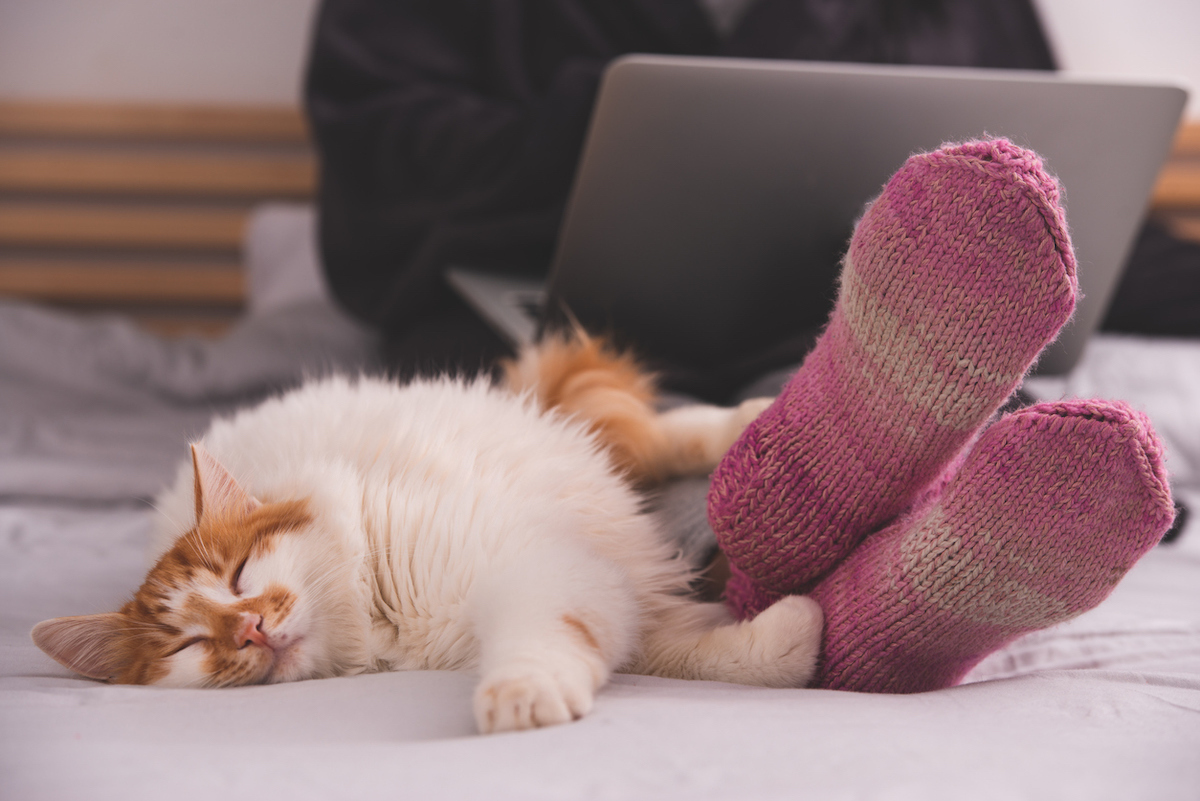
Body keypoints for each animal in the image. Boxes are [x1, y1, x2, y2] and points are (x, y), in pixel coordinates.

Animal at [32, 330, 820, 733]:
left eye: (240, 575)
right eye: (189, 646)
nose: (251, 629)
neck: (376, 620)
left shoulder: (543, 569)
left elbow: (540, 641)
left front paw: (519, 696)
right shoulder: (613, 593)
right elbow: (699, 655)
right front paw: (794, 636)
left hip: (575, 440)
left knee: (662, 432)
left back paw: (753, 417)